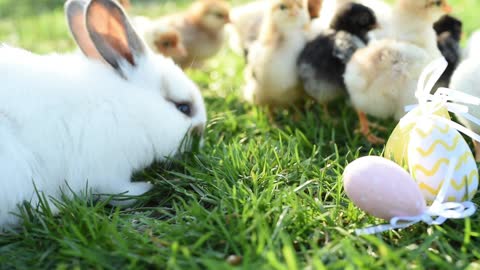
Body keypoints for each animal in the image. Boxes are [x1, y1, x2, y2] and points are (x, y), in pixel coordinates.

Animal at [0, 0, 205, 229]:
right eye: (183, 107)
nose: (200, 138)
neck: (132, 107)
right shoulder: (107, 171)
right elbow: (117, 191)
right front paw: (146, 187)